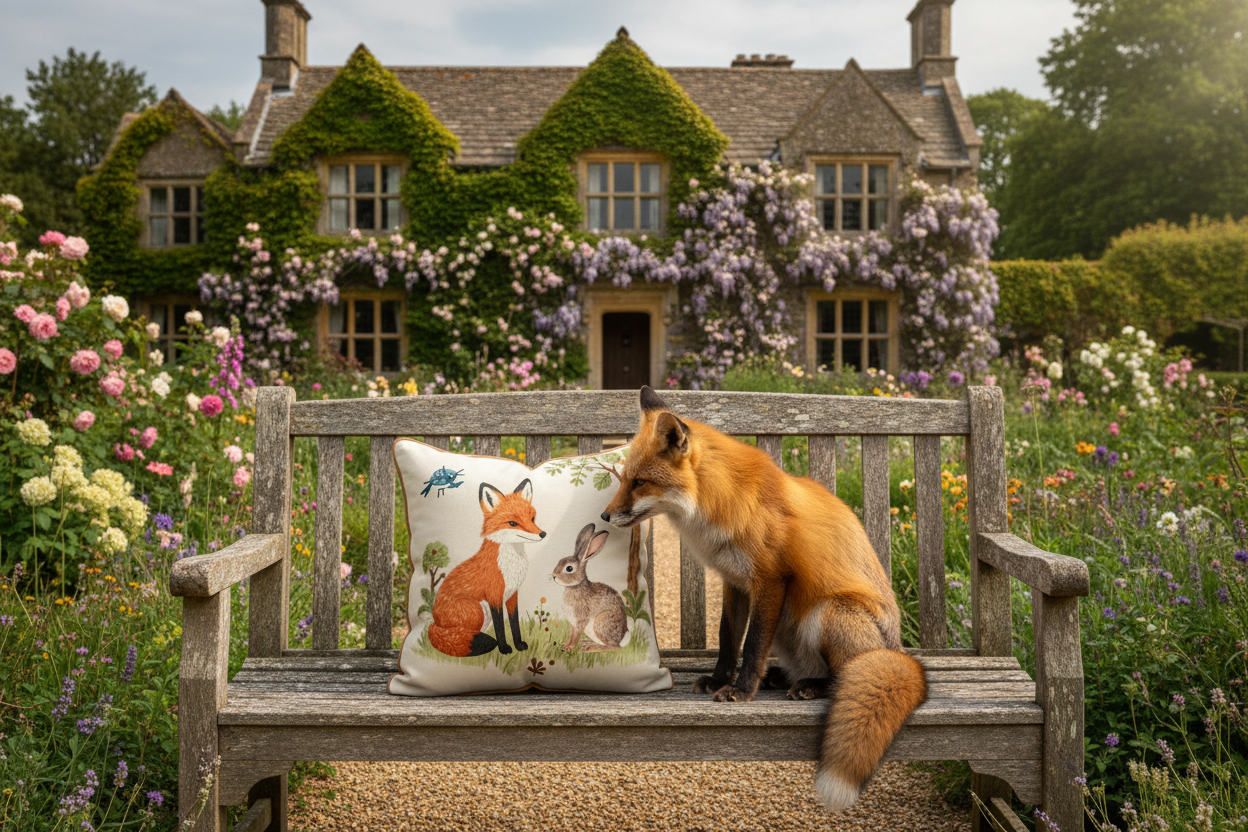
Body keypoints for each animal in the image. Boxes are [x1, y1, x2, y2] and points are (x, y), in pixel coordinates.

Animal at [427, 478, 547, 658]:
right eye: (513, 523)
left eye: (532, 519)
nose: (542, 534)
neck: (511, 564)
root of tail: (435, 622)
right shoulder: (494, 595)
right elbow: (500, 627)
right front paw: (504, 648)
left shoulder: (512, 594)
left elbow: (514, 623)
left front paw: (518, 645)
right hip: (475, 608)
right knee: (461, 636)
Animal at [551, 523, 631, 652]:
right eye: (560, 561)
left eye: (569, 568)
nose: (554, 576)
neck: (575, 586)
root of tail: (623, 638)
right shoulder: (572, 622)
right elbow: (571, 634)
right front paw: (565, 645)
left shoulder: (581, 619)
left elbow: (576, 635)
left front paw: (570, 648)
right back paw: (587, 642)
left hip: (602, 622)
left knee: (613, 647)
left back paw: (591, 648)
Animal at [601, 386, 927, 812]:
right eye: (624, 479)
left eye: (640, 482)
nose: (605, 516)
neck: (721, 501)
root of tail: (899, 652)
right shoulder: (735, 581)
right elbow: (727, 640)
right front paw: (720, 679)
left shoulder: (770, 579)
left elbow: (753, 644)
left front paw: (741, 690)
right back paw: (784, 677)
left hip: (829, 612)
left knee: (847, 674)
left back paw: (812, 687)